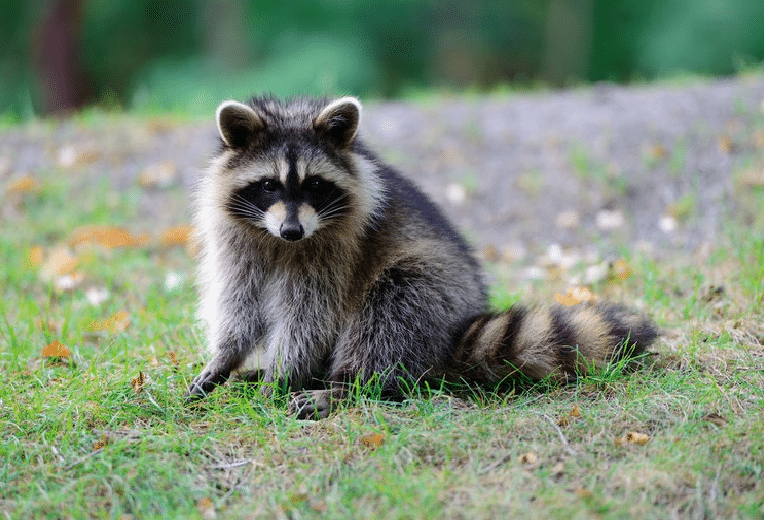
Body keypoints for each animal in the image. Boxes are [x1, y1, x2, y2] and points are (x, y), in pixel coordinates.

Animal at [187, 93, 656, 418]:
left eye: (315, 185)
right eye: (269, 185)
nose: (292, 230)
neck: (280, 243)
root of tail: (457, 329)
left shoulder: (335, 250)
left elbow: (309, 317)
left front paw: (283, 374)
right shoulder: (238, 241)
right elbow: (239, 303)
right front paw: (226, 357)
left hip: (431, 288)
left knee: (389, 313)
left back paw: (346, 387)